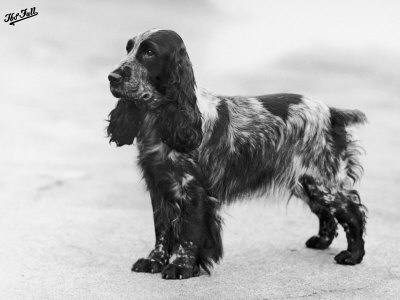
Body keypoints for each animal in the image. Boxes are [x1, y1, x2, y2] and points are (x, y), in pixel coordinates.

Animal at [105, 29, 366, 280]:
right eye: (128, 49)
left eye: (149, 52)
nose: (112, 77)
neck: (162, 120)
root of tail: (331, 112)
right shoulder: (159, 185)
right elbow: (162, 230)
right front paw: (153, 262)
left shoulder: (193, 190)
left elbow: (188, 232)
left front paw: (181, 267)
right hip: (305, 182)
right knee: (327, 213)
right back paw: (321, 242)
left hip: (322, 181)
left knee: (352, 211)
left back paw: (352, 255)